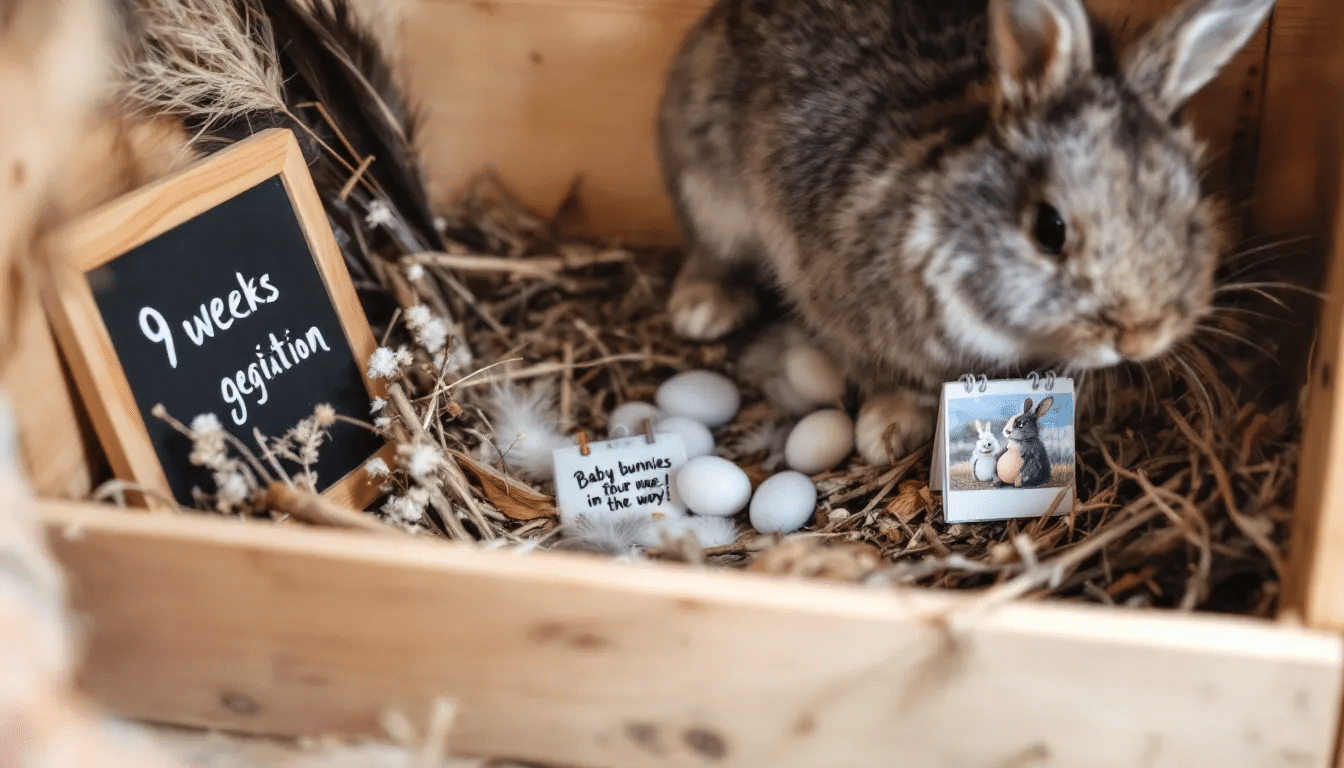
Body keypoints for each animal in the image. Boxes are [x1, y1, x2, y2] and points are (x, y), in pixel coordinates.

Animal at [655, 0, 1274, 465]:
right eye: (1049, 230)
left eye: (1191, 212)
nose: (1140, 339)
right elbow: (897, 379)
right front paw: (884, 433)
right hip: (708, 189)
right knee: (710, 250)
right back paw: (701, 310)